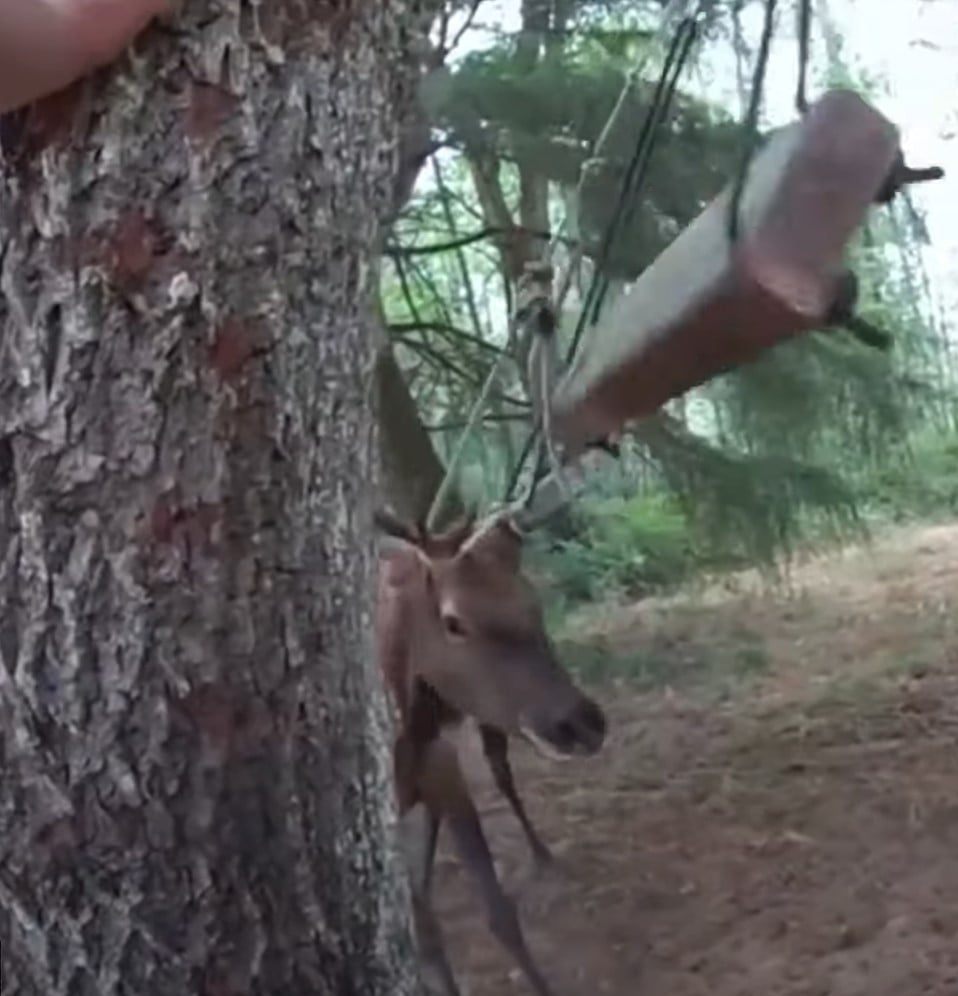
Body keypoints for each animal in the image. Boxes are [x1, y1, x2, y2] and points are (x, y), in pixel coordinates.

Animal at [376, 506, 608, 996]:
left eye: (533, 602)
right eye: (453, 621)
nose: (582, 722)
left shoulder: (442, 765)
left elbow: (499, 914)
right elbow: (426, 931)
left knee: (500, 772)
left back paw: (541, 853)